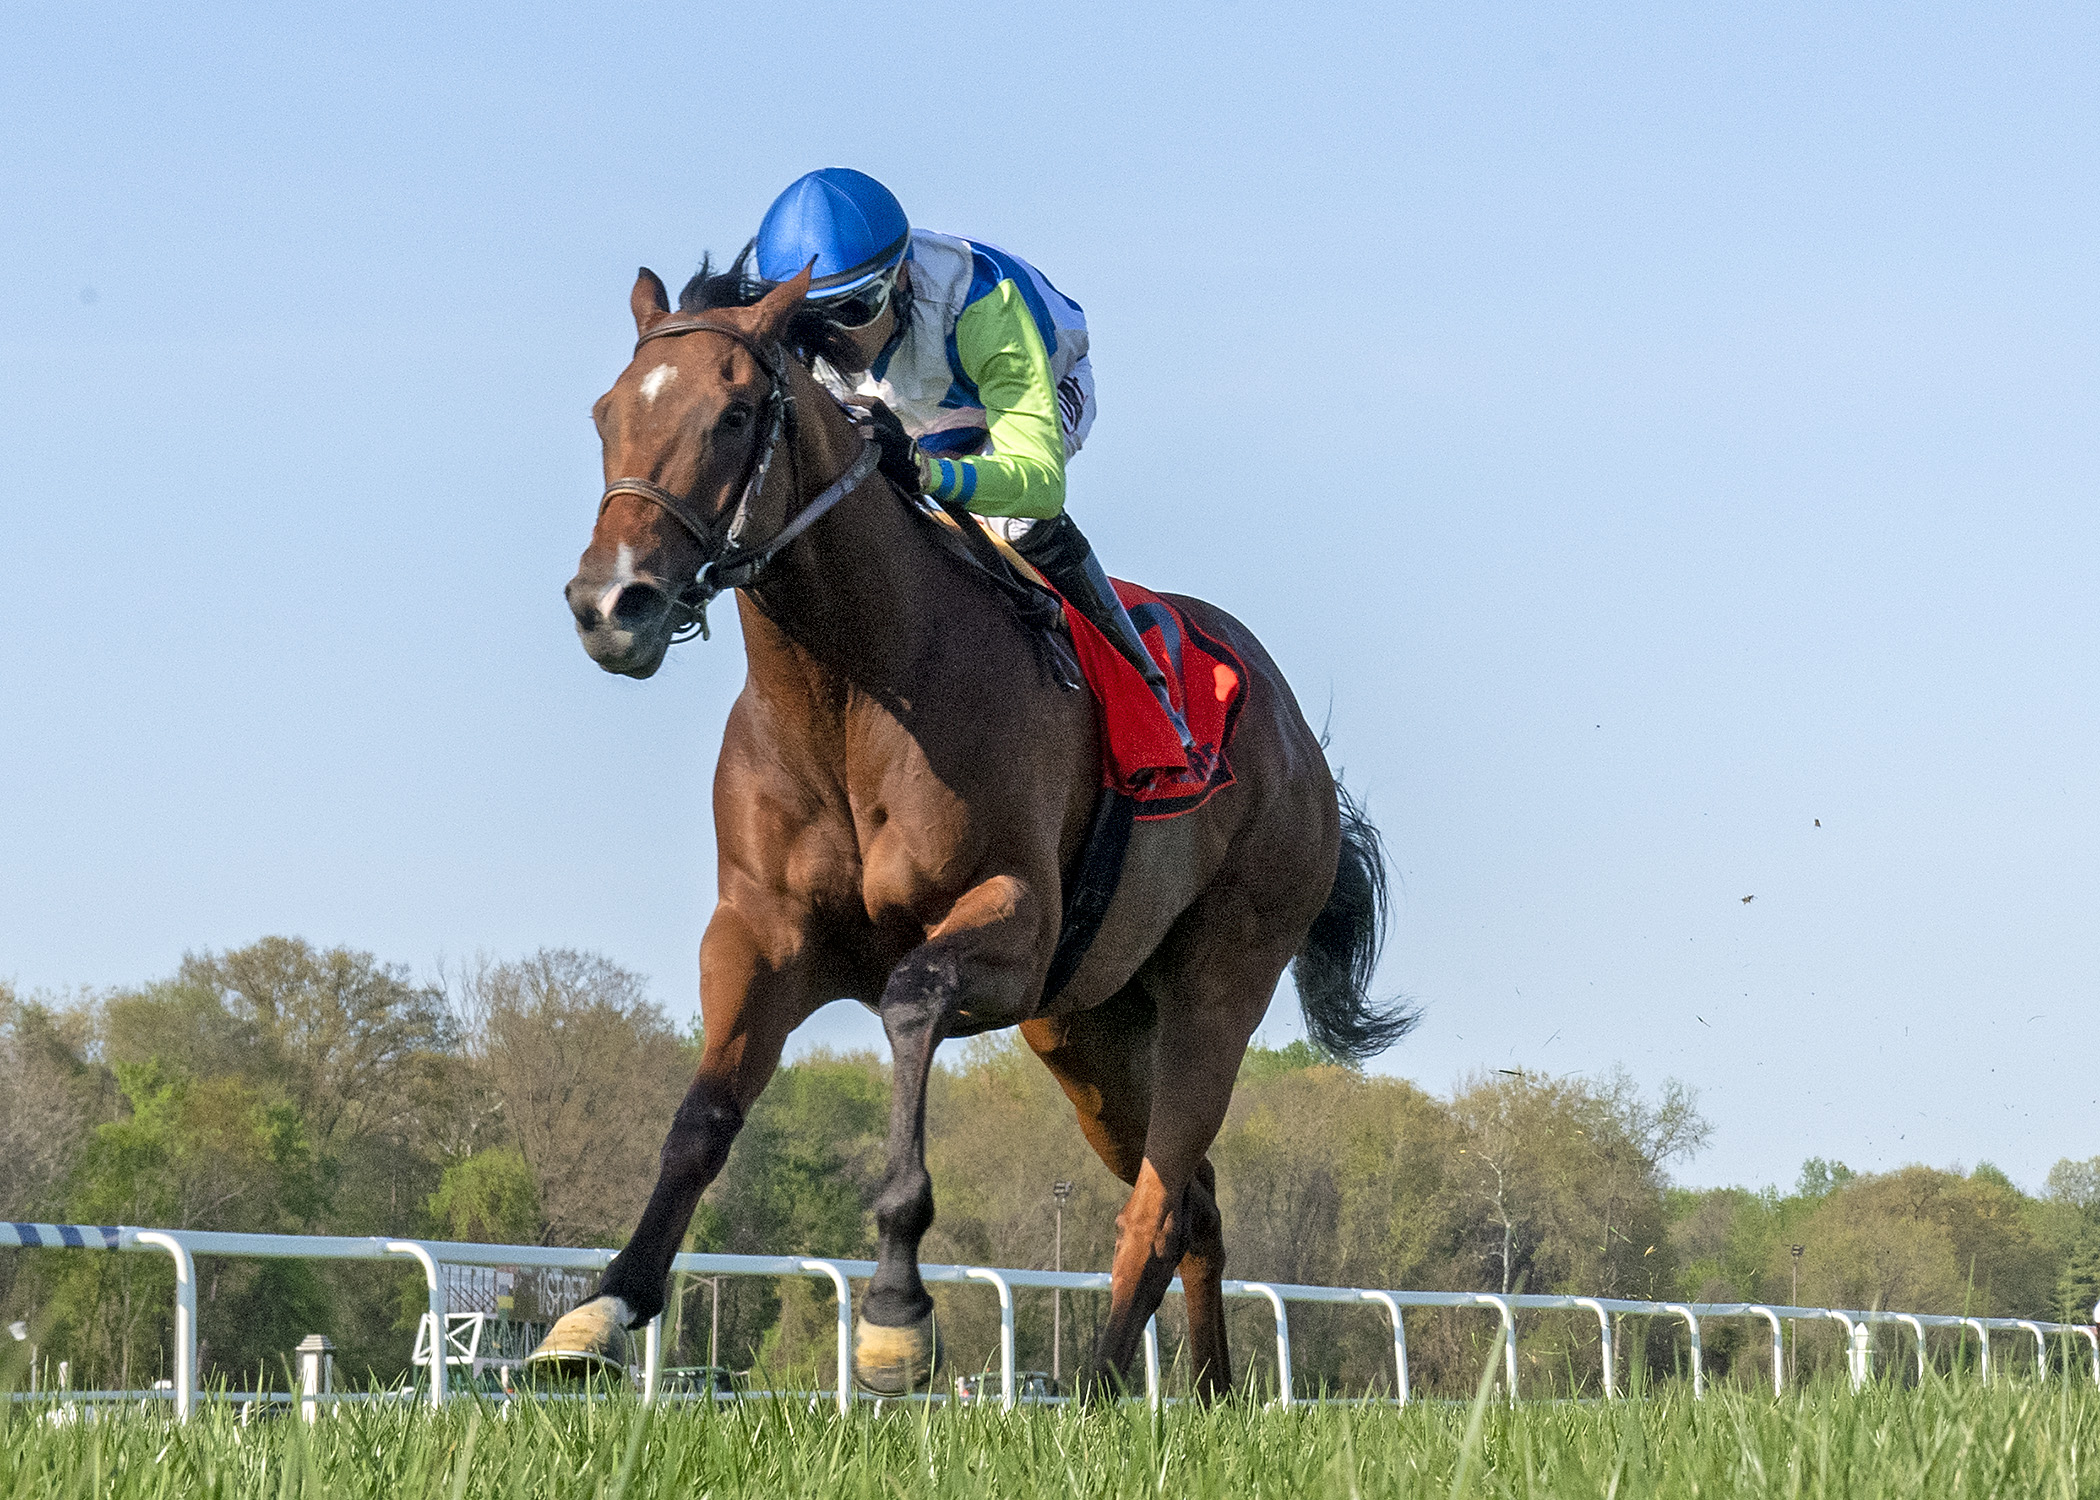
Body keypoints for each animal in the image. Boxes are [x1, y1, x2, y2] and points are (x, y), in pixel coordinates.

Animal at [541, 262, 1411, 1394]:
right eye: (607, 413)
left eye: (733, 415)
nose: (612, 604)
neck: (852, 692)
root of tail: (1300, 739)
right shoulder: (759, 935)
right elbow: (701, 1119)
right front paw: (602, 1308)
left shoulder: (1013, 922)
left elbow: (909, 1001)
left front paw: (896, 1312)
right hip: (1086, 1032)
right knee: (1199, 1203)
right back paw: (1207, 1393)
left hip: (1219, 989)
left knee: (1158, 1208)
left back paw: (1095, 1390)